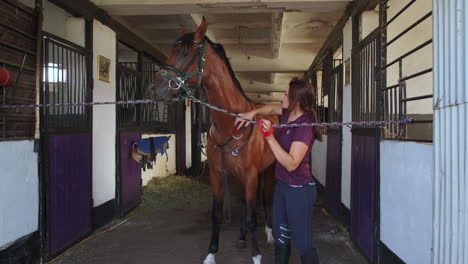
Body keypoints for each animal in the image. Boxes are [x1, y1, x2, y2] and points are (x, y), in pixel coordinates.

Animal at [149, 17, 278, 262]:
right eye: (171, 51)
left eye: (185, 53)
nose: (155, 90)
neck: (232, 124)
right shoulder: (218, 175)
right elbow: (217, 214)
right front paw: (211, 253)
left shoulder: (251, 175)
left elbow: (252, 216)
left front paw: (256, 256)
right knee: (245, 203)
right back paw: (241, 238)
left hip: (268, 172)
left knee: (265, 200)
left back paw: (269, 233)